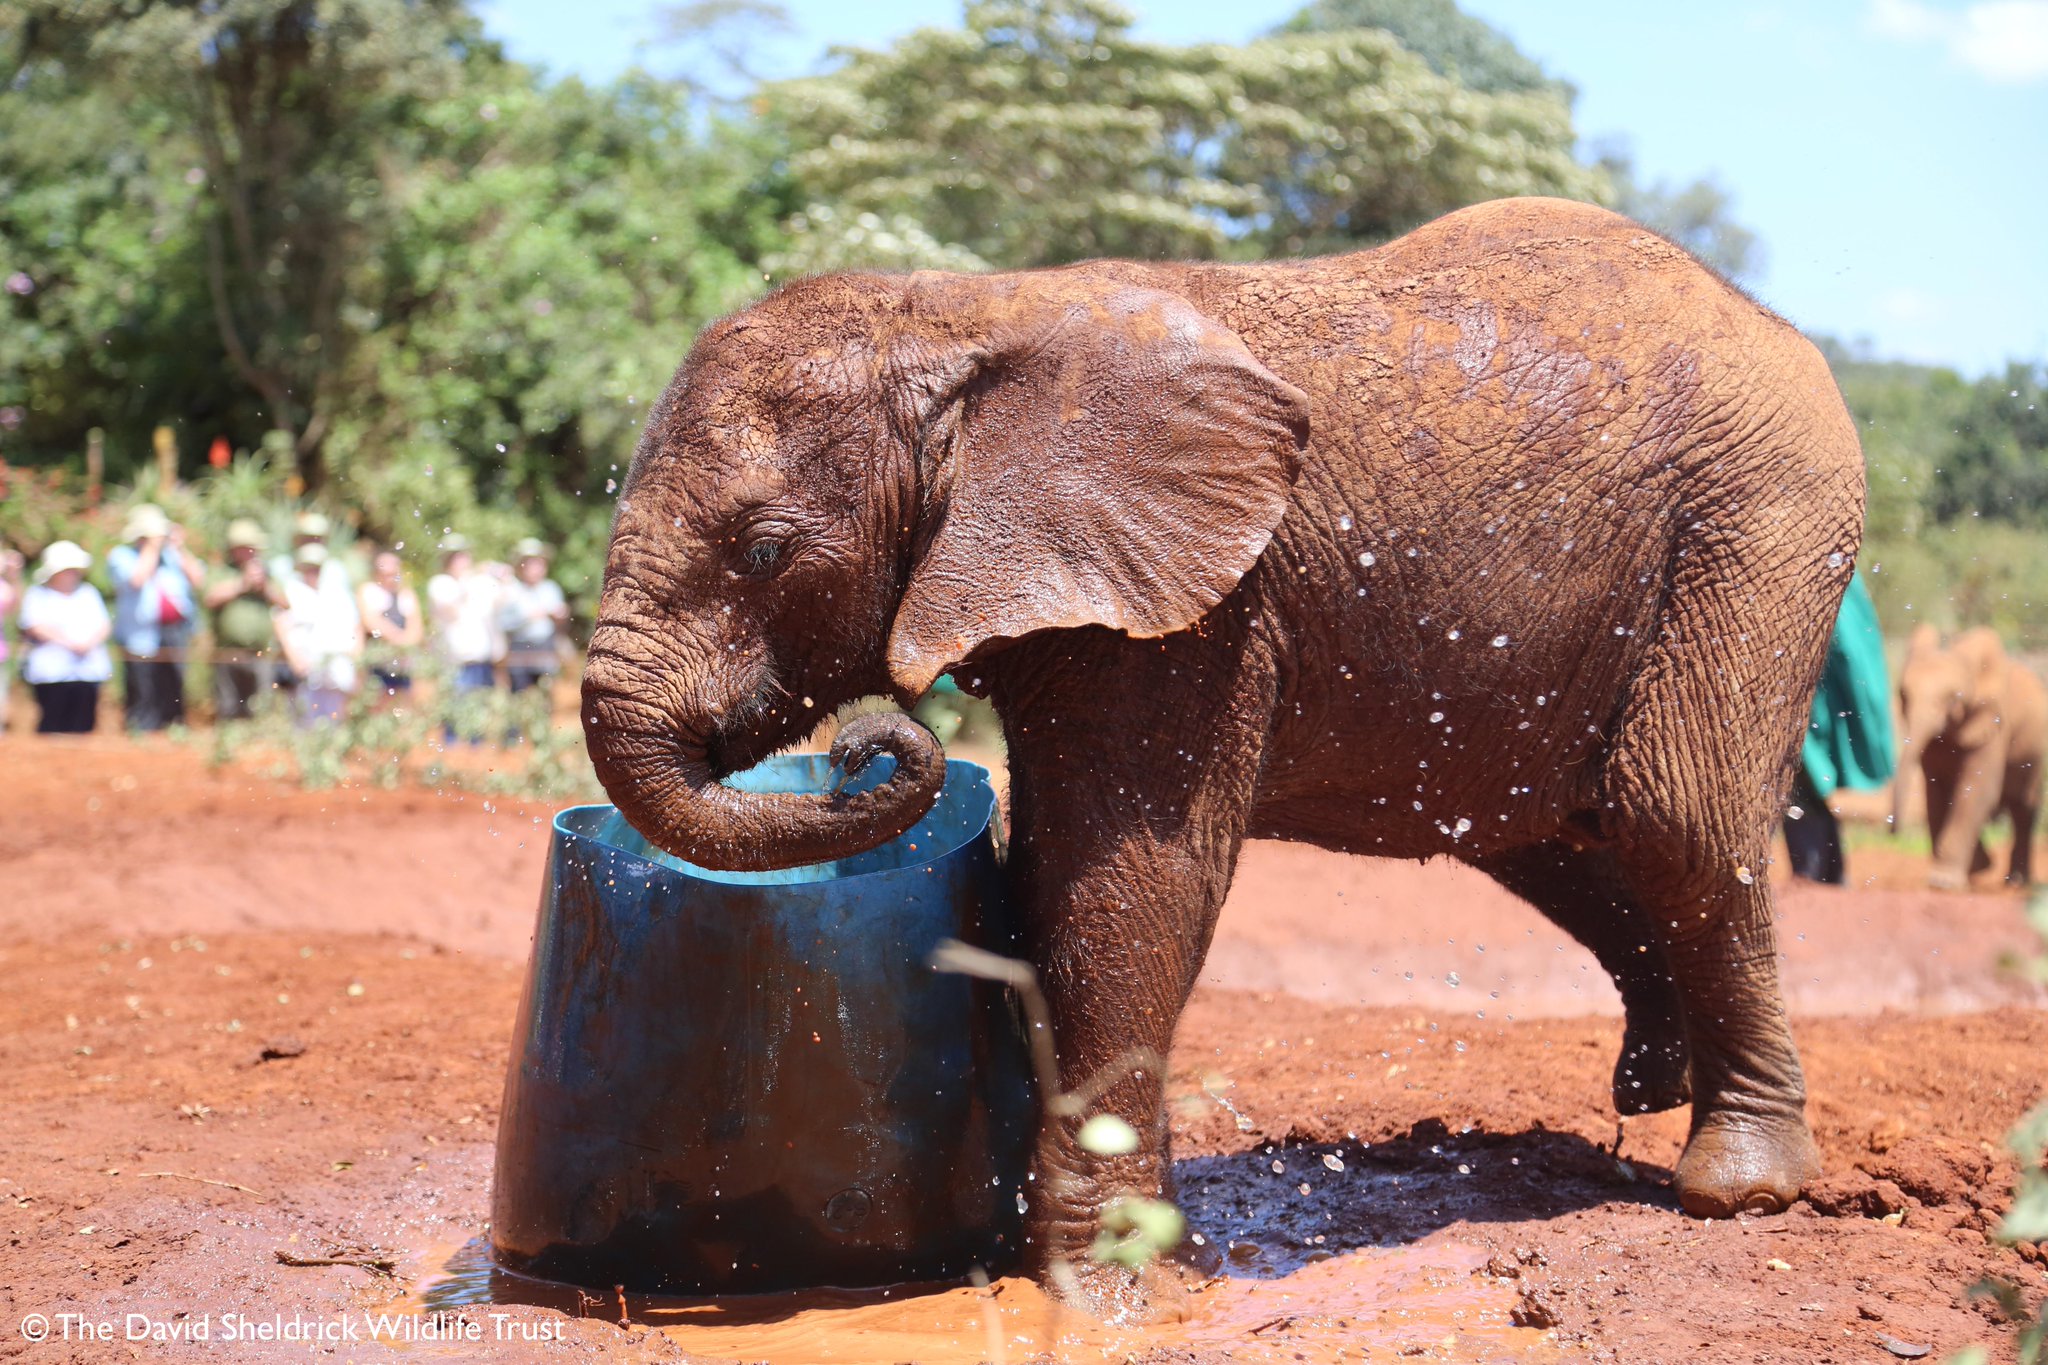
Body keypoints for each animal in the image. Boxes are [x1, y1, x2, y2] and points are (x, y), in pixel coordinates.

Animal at [581, 192, 1875, 1301]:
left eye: (762, 551)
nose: (868, 746)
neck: (957, 314)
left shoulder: (1200, 609)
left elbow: (1127, 885)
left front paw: (1105, 1287)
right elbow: (1050, 879)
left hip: (1759, 520)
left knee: (1671, 822)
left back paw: (1737, 1188)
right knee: (1546, 831)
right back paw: (1649, 1085)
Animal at [1892, 626, 2039, 892]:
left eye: (1953, 699)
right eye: (1903, 695)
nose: (1893, 830)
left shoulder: (1994, 727)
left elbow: (1978, 790)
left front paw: (1944, 883)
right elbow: (1936, 794)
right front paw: (1977, 868)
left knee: (2024, 809)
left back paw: (2017, 883)